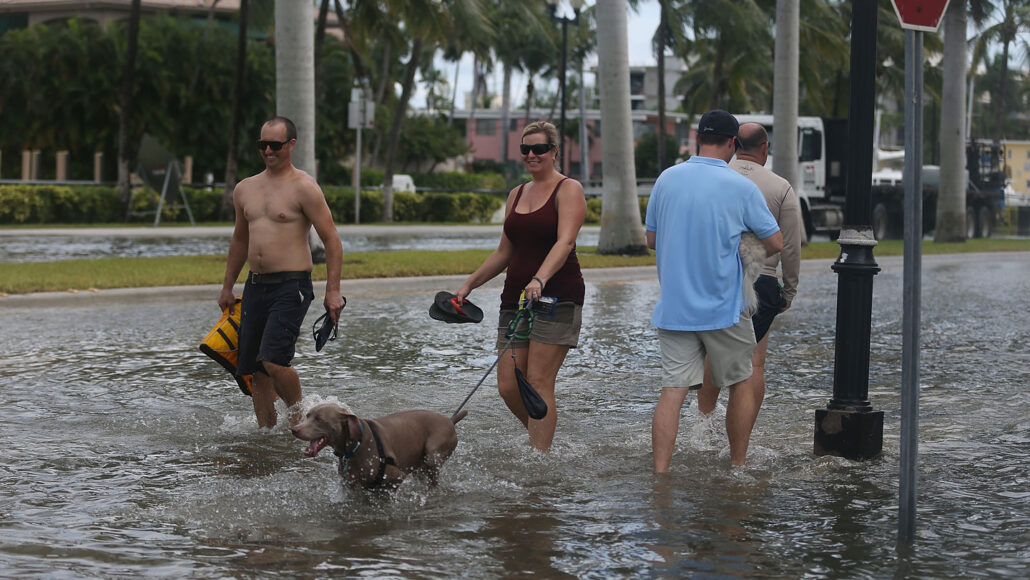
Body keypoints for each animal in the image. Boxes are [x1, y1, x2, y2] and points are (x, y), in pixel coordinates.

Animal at [290, 405, 467, 492]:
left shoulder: (396, 477)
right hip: (420, 466)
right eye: (307, 415)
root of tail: (450, 420)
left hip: (432, 455)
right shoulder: (351, 484)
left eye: (319, 419)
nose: (294, 429)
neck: (355, 445)